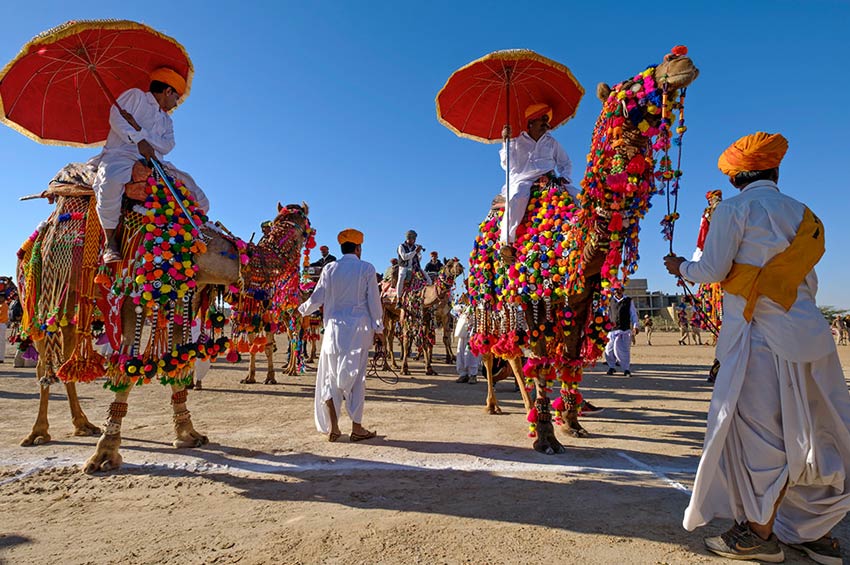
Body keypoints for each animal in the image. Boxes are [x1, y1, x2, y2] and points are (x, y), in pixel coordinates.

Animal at [229, 203, 314, 384]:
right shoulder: (252, 314)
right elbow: (253, 344)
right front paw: (250, 376)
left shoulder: (269, 314)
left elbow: (267, 346)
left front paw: (269, 377)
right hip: (286, 316)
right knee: (291, 337)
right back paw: (289, 368)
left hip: (294, 315)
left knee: (295, 337)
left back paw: (293, 370)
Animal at [468, 48, 700, 454]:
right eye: (630, 85)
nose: (679, 61)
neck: (569, 248)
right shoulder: (534, 298)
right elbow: (542, 363)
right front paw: (546, 437)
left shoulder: (579, 301)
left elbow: (571, 358)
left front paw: (572, 423)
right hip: (488, 298)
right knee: (495, 350)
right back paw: (496, 405)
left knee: (512, 355)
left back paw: (526, 406)